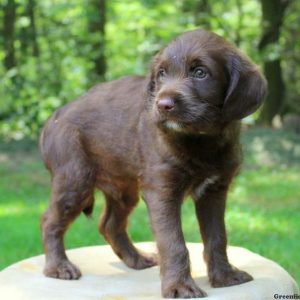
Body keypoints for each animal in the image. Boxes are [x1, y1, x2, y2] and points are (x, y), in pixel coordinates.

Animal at [40, 29, 268, 298]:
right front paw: (180, 287)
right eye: (161, 74)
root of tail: (55, 116)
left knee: (109, 224)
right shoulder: (162, 189)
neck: (200, 140)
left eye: (200, 72)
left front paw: (225, 276)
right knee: (50, 220)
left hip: (123, 187)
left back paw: (136, 259)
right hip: (75, 179)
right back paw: (58, 267)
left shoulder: (214, 189)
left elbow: (217, 236)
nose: (163, 105)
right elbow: (173, 242)